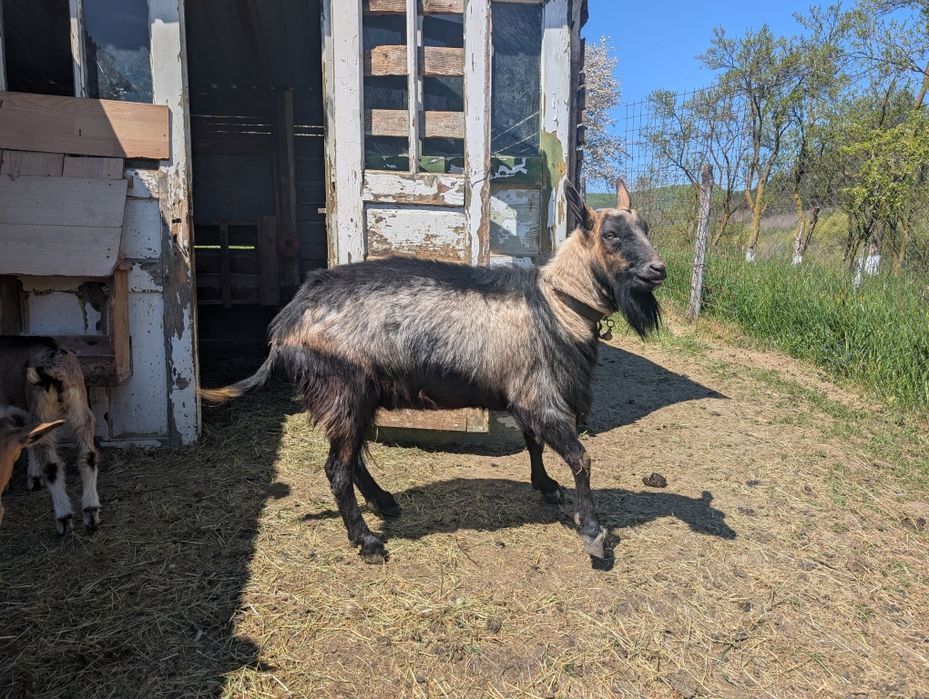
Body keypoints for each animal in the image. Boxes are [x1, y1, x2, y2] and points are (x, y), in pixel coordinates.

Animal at [0, 337, 101, 534]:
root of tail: (52, 371)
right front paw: (33, 478)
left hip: (44, 411)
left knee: (52, 465)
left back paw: (63, 518)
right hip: (79, 406)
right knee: (88, 457)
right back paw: (91, 514)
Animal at [202, 180, 665, 564]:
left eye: (645, 227)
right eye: (611, 235)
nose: (657, 269)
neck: (557, 303)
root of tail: (286, 323)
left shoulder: (524, 391)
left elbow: (533, 443)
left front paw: (547, 487)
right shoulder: (539, 394)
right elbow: (580, 457)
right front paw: (593, 533)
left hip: (359, 395)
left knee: (352, 457)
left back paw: (384, 502)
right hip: (343, 387)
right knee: (337, 468)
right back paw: (367, 541)